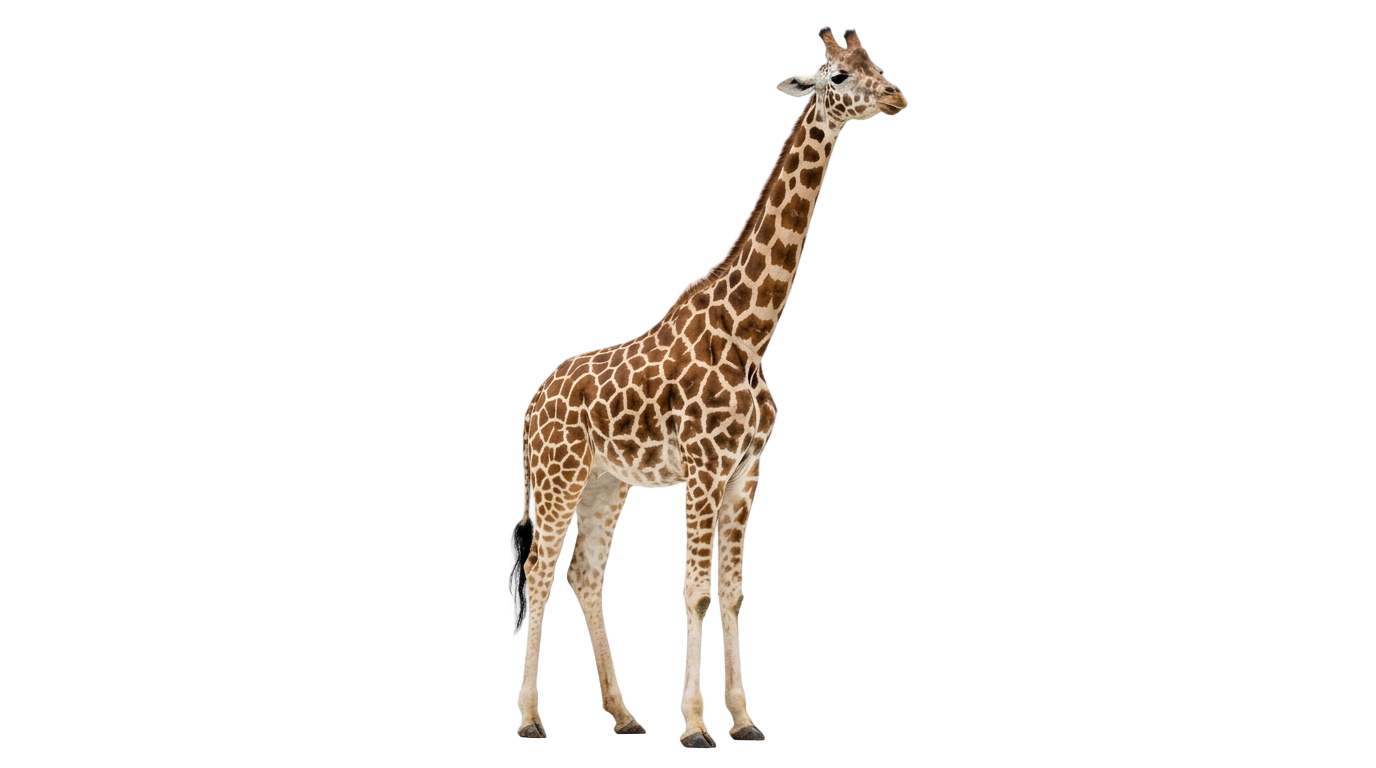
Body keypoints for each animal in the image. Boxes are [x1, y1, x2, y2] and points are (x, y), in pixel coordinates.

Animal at [505, 28, 907, 754]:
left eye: (876, 64)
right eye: (838, 75)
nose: (895, 96)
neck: (750, 333)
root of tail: (530, 408)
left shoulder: (746, 473)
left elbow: (732, 591)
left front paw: (744, 721)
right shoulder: (701, 471)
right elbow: (693, 589)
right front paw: (694, 730)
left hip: (607, 482)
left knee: (583, 571)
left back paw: (622, 715)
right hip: (557, 478)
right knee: (538, 571)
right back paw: (531, 721)